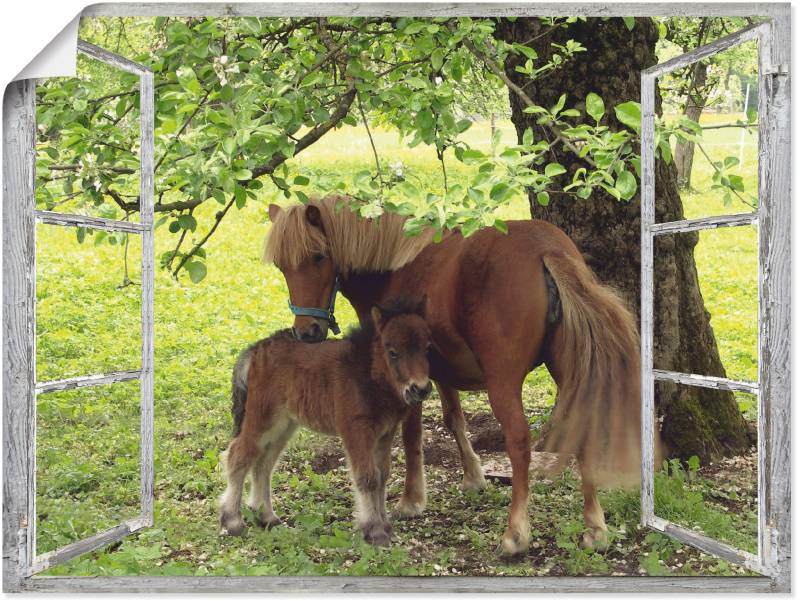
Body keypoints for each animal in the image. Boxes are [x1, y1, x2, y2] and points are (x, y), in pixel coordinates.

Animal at [217, 296, 432, 544]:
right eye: (393, 352)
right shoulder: (355, 430)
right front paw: (375, 531)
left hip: (284, 425)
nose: (420, 389)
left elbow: (382, 476)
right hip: (263, 418)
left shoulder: (385, 434)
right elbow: (368, 477)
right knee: (239, 455)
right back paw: (232, 521)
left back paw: (267, 517)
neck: (367, 372)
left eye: (427, 348)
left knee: (264, 463)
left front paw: (384, 526)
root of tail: (256, 350)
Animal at [266, 196, 640, 552]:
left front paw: (411, 499)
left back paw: (516, 533)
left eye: (318, 257)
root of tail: (546, 249)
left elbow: (412, 435)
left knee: (518, 443)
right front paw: (473, 475)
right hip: (571, 370)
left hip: (503, 382)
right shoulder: (440, 372)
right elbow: (453, 419)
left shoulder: (406, 379)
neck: (395, 267)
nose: (307, 332)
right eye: (282, 266)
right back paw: (595, 528)